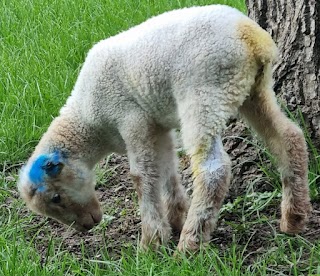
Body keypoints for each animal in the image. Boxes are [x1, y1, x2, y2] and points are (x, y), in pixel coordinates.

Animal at [17, 4, 310, 253]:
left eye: (55, 197)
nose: (88, 225)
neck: (88, 121)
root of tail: (250, 35)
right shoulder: (158, 128)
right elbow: (168, 169)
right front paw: (175, 217)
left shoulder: (132, 120)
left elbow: (141, 177)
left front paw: (151, 242)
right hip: (255, 91)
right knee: (289, 136)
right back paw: (293, 218)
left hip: (204, 96)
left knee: (213, 170)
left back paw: (190, 245)